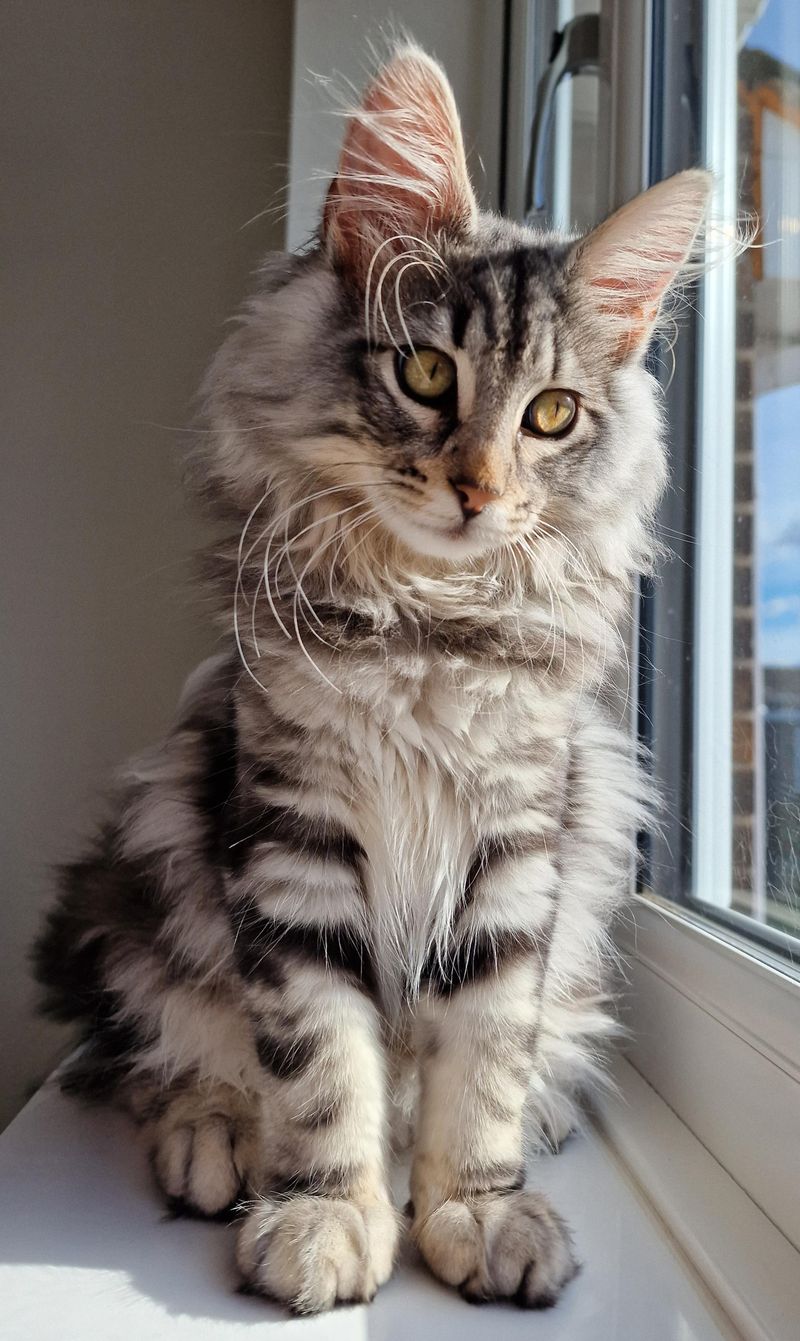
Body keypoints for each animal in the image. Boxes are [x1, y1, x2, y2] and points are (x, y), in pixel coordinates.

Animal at [35, 44, 712, 1319]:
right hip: (144, 872)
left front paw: (476, 1210)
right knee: (162, 1048)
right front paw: (322, 1218)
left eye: (552, 415)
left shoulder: (515, 849)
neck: (427, 632)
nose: (477, 488)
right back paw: (212, 1140)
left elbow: (484, 1059)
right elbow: (319, 1065)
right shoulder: (292, 836)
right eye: (426, 371)